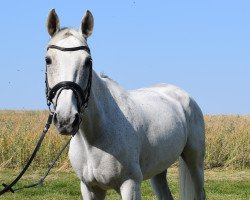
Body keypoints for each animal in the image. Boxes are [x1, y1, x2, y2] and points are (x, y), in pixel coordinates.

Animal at [45, 9, 205, 200]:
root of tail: (184, 96)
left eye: (88, 61)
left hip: (195, 162)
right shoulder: (90, 188)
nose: (66, 119)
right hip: (159, 169)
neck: (95, 137)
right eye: (48, 60)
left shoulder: (130, 185)